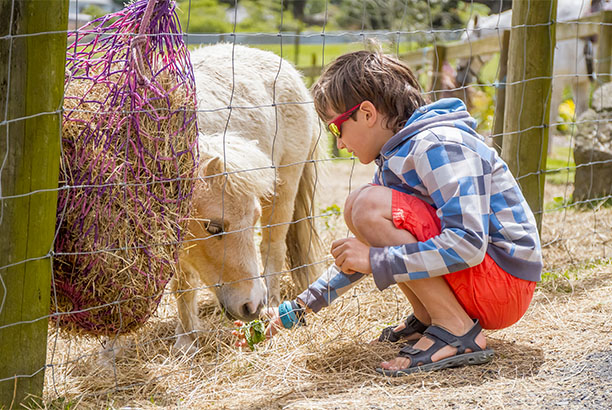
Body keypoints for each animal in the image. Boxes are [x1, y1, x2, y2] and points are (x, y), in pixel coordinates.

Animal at [170, 44, 328, 352]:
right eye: (213, 227)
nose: (252, 305)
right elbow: (183, 282)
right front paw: (187, 339)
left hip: (284, 190)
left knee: (272, 247)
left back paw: (274, 304)